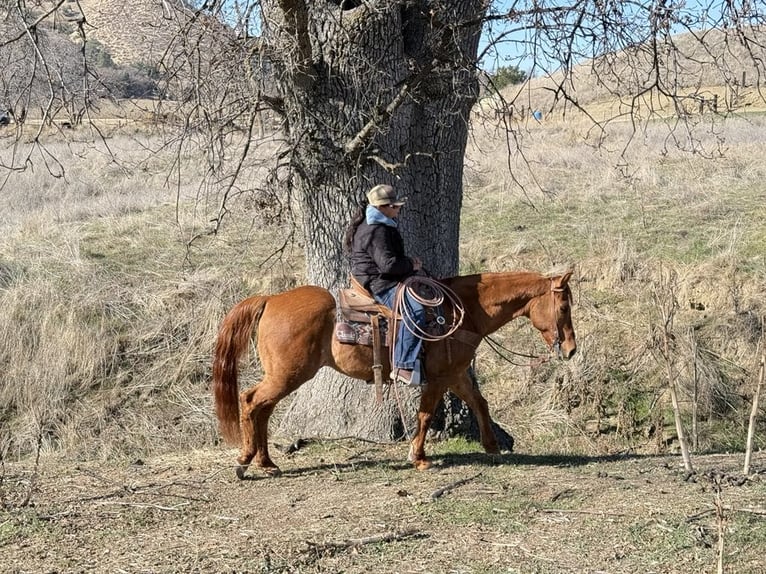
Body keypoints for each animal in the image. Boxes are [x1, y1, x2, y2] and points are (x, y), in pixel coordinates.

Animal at [213, 269, 577, 478]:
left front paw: (492, 447)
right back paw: (245, 461)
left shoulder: (456, 374)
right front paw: (419, 457)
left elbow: (480, 403)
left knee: (261, 408)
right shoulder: (439, 377)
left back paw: (266, 462)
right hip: (288, 375)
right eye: (564, 307)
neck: (462, 312)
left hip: (284, 375)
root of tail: (271, 300)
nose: (571, 349)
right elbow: (426, 414)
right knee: (251, 402)